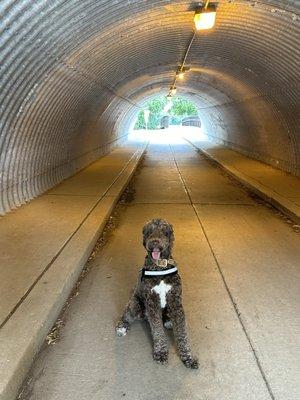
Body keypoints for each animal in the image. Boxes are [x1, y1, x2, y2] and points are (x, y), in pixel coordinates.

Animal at [116, 219, 198, 368]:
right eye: (149, 232)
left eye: (164, 232)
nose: (154, 242)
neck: (160, 267)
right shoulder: (152, 303)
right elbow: (157, 330)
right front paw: (160, 353)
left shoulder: (176, 302)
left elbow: (182, 333)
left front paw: (188, 357)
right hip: (135, 303)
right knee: (127, 313)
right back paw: (122, 326)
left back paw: (168, 321)